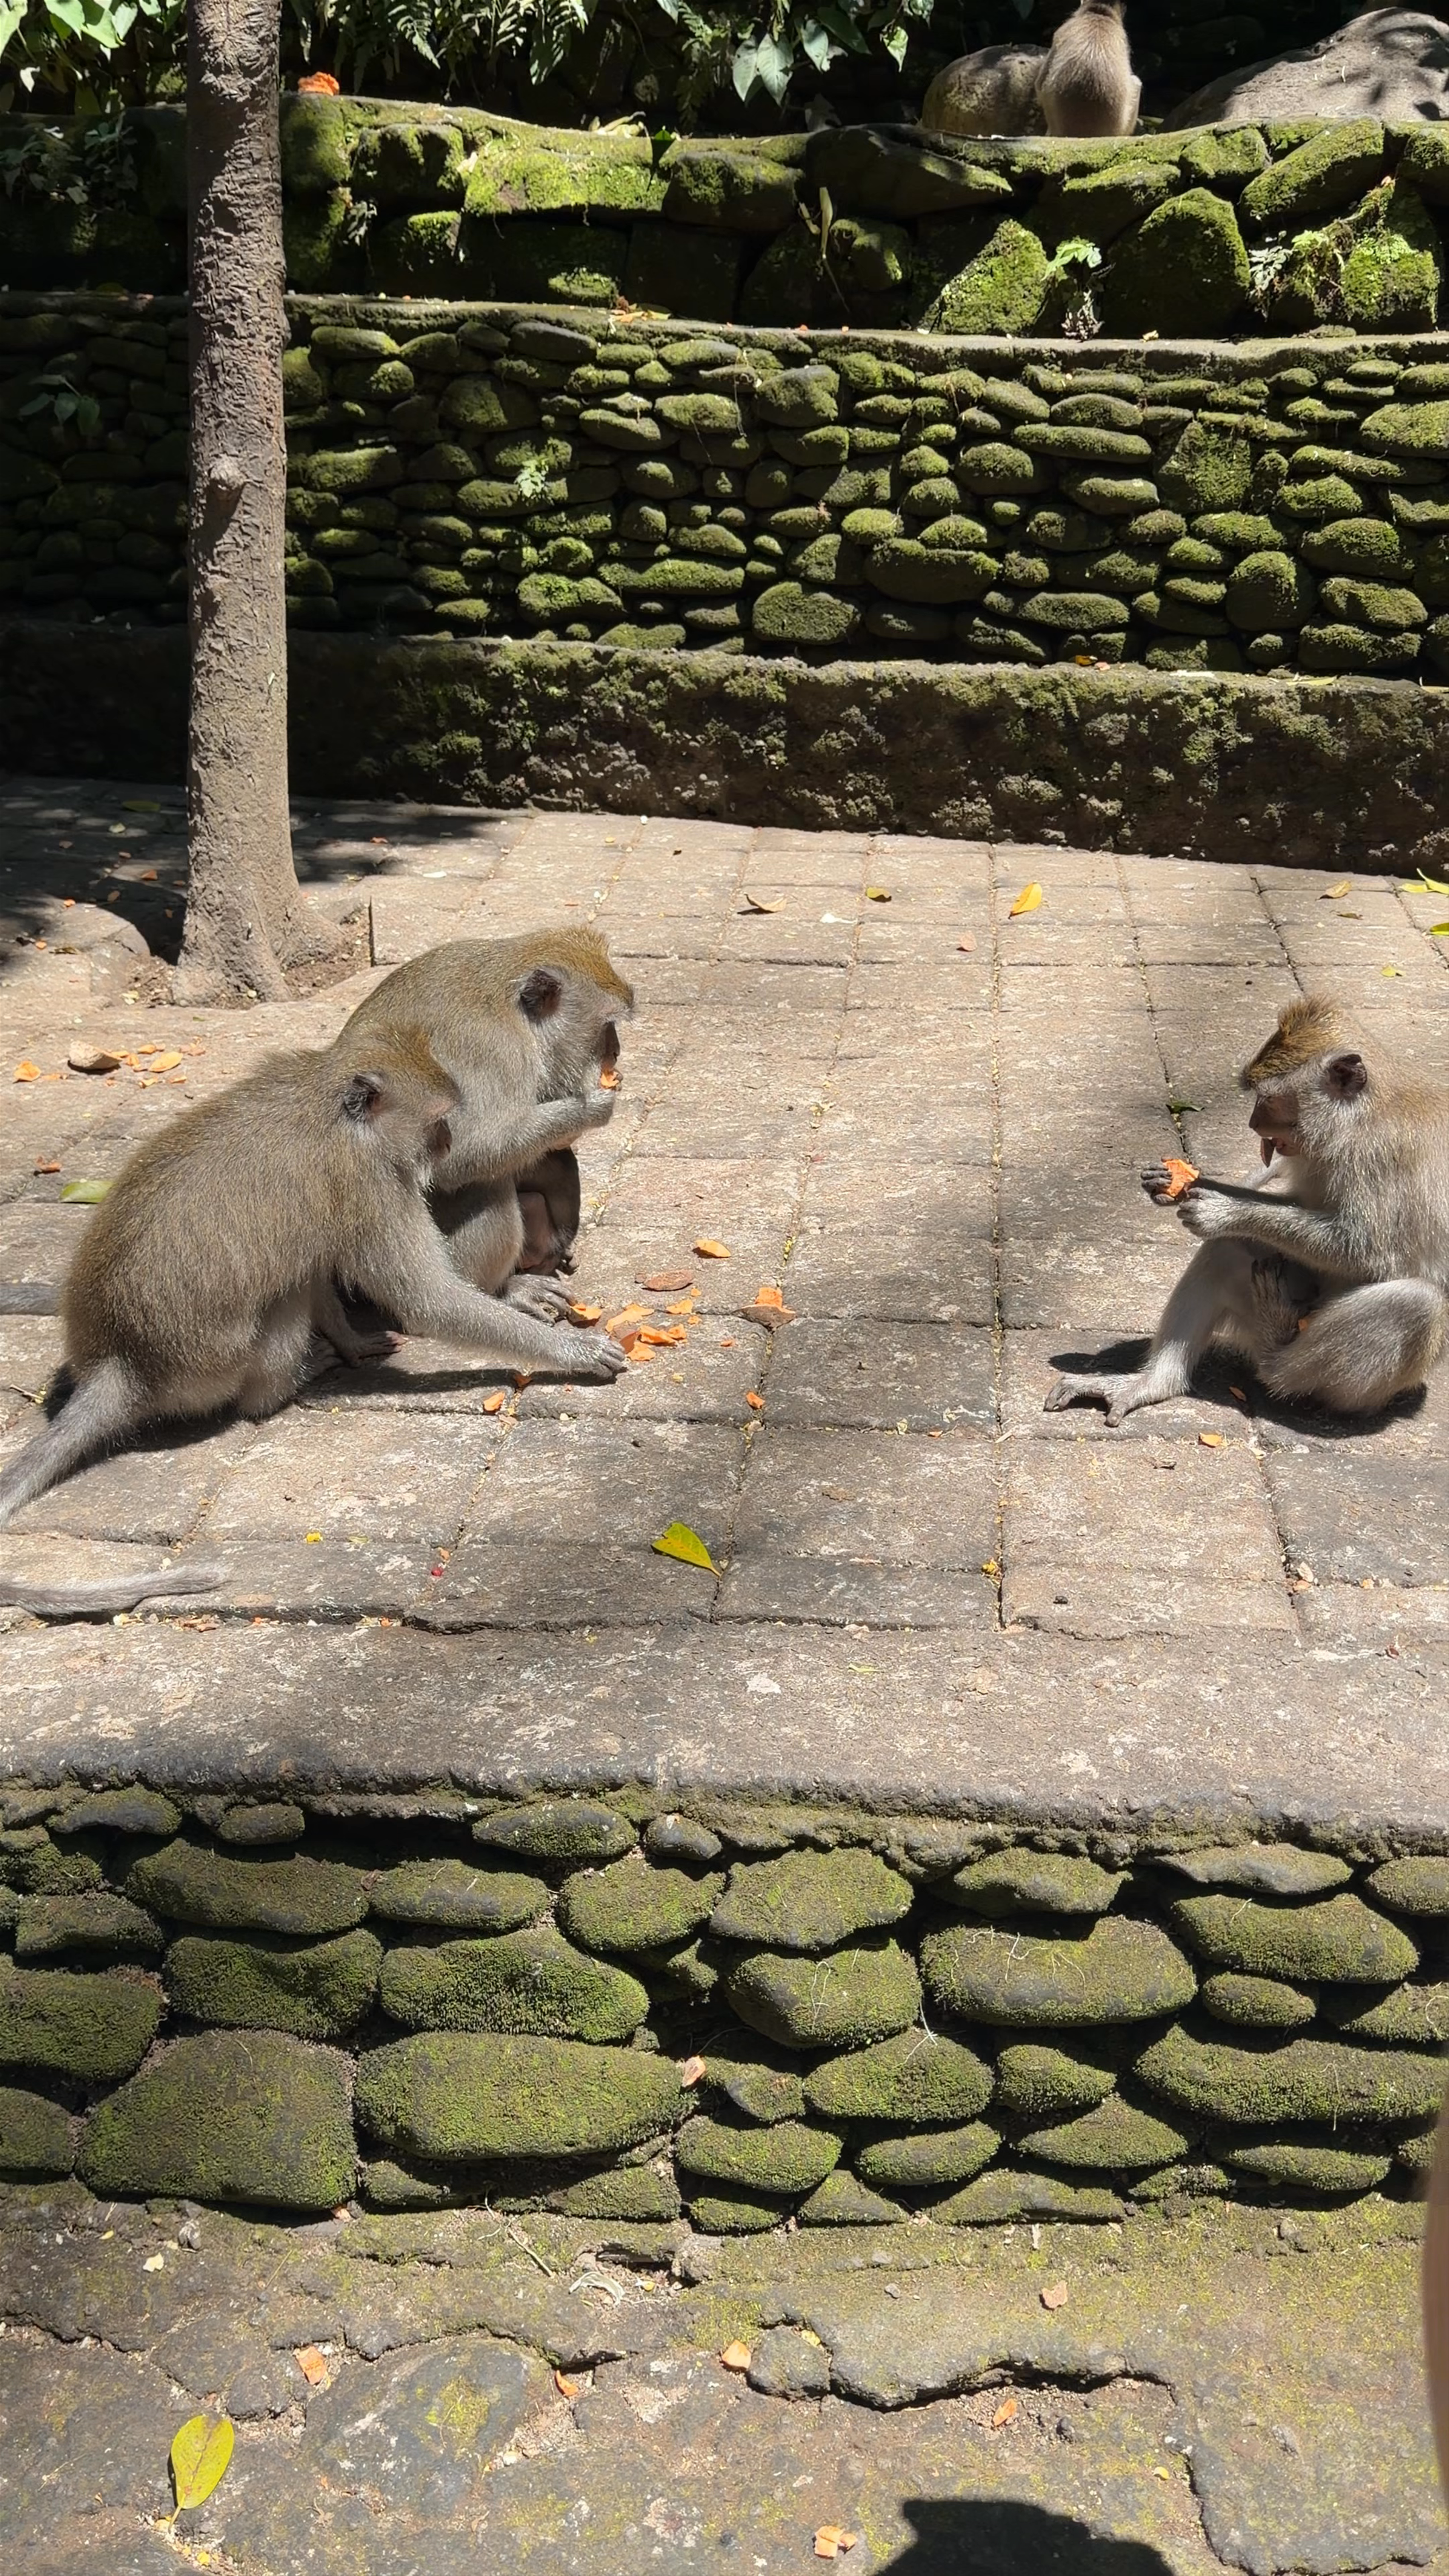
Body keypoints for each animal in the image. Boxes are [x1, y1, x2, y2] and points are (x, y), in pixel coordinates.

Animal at [0, 1020, 626, 1611]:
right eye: (438, 1121)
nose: (448, 1145)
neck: (330, 1106)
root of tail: (119, 1359)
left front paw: (353, 1338)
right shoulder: (370, 1182)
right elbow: (426, 1299)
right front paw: (575, 1352)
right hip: (211, 1370)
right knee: (280, 1300)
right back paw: (284, 1387)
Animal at [338, 928, 633, 1315]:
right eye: (605, 1023)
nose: (616, 1051)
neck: (518, 1015)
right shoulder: (493, 1049)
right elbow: (462, 1154)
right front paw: (594, 1107)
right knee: (489, 1186)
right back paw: (503, 1291)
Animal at [1044, 996, 1448, 1426]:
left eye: (1267, 1098)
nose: (1254, 1123)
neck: (1360, 1114)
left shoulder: (1378, 1154)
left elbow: (1369, 1252)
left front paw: (1222, 1211)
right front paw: (1181, 1185)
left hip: (1370, 1384)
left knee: (1416, 1304)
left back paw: (1275, 1345)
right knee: (1224, 1251)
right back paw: (1155, 1382)